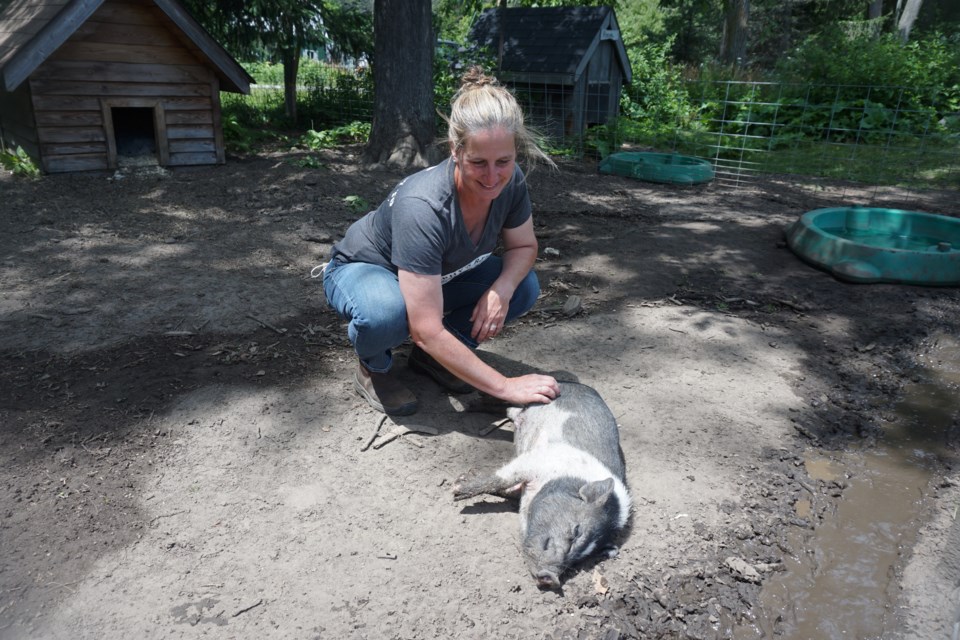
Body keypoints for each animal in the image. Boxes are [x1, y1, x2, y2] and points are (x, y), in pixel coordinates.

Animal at [456, 380, 632, 592]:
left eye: (580, 560)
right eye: (576, 532)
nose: (550, 578)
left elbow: (506, 489)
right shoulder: (538, 459)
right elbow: (501, 478)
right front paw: (456, 489)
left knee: (510, 410)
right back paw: (472, 403)